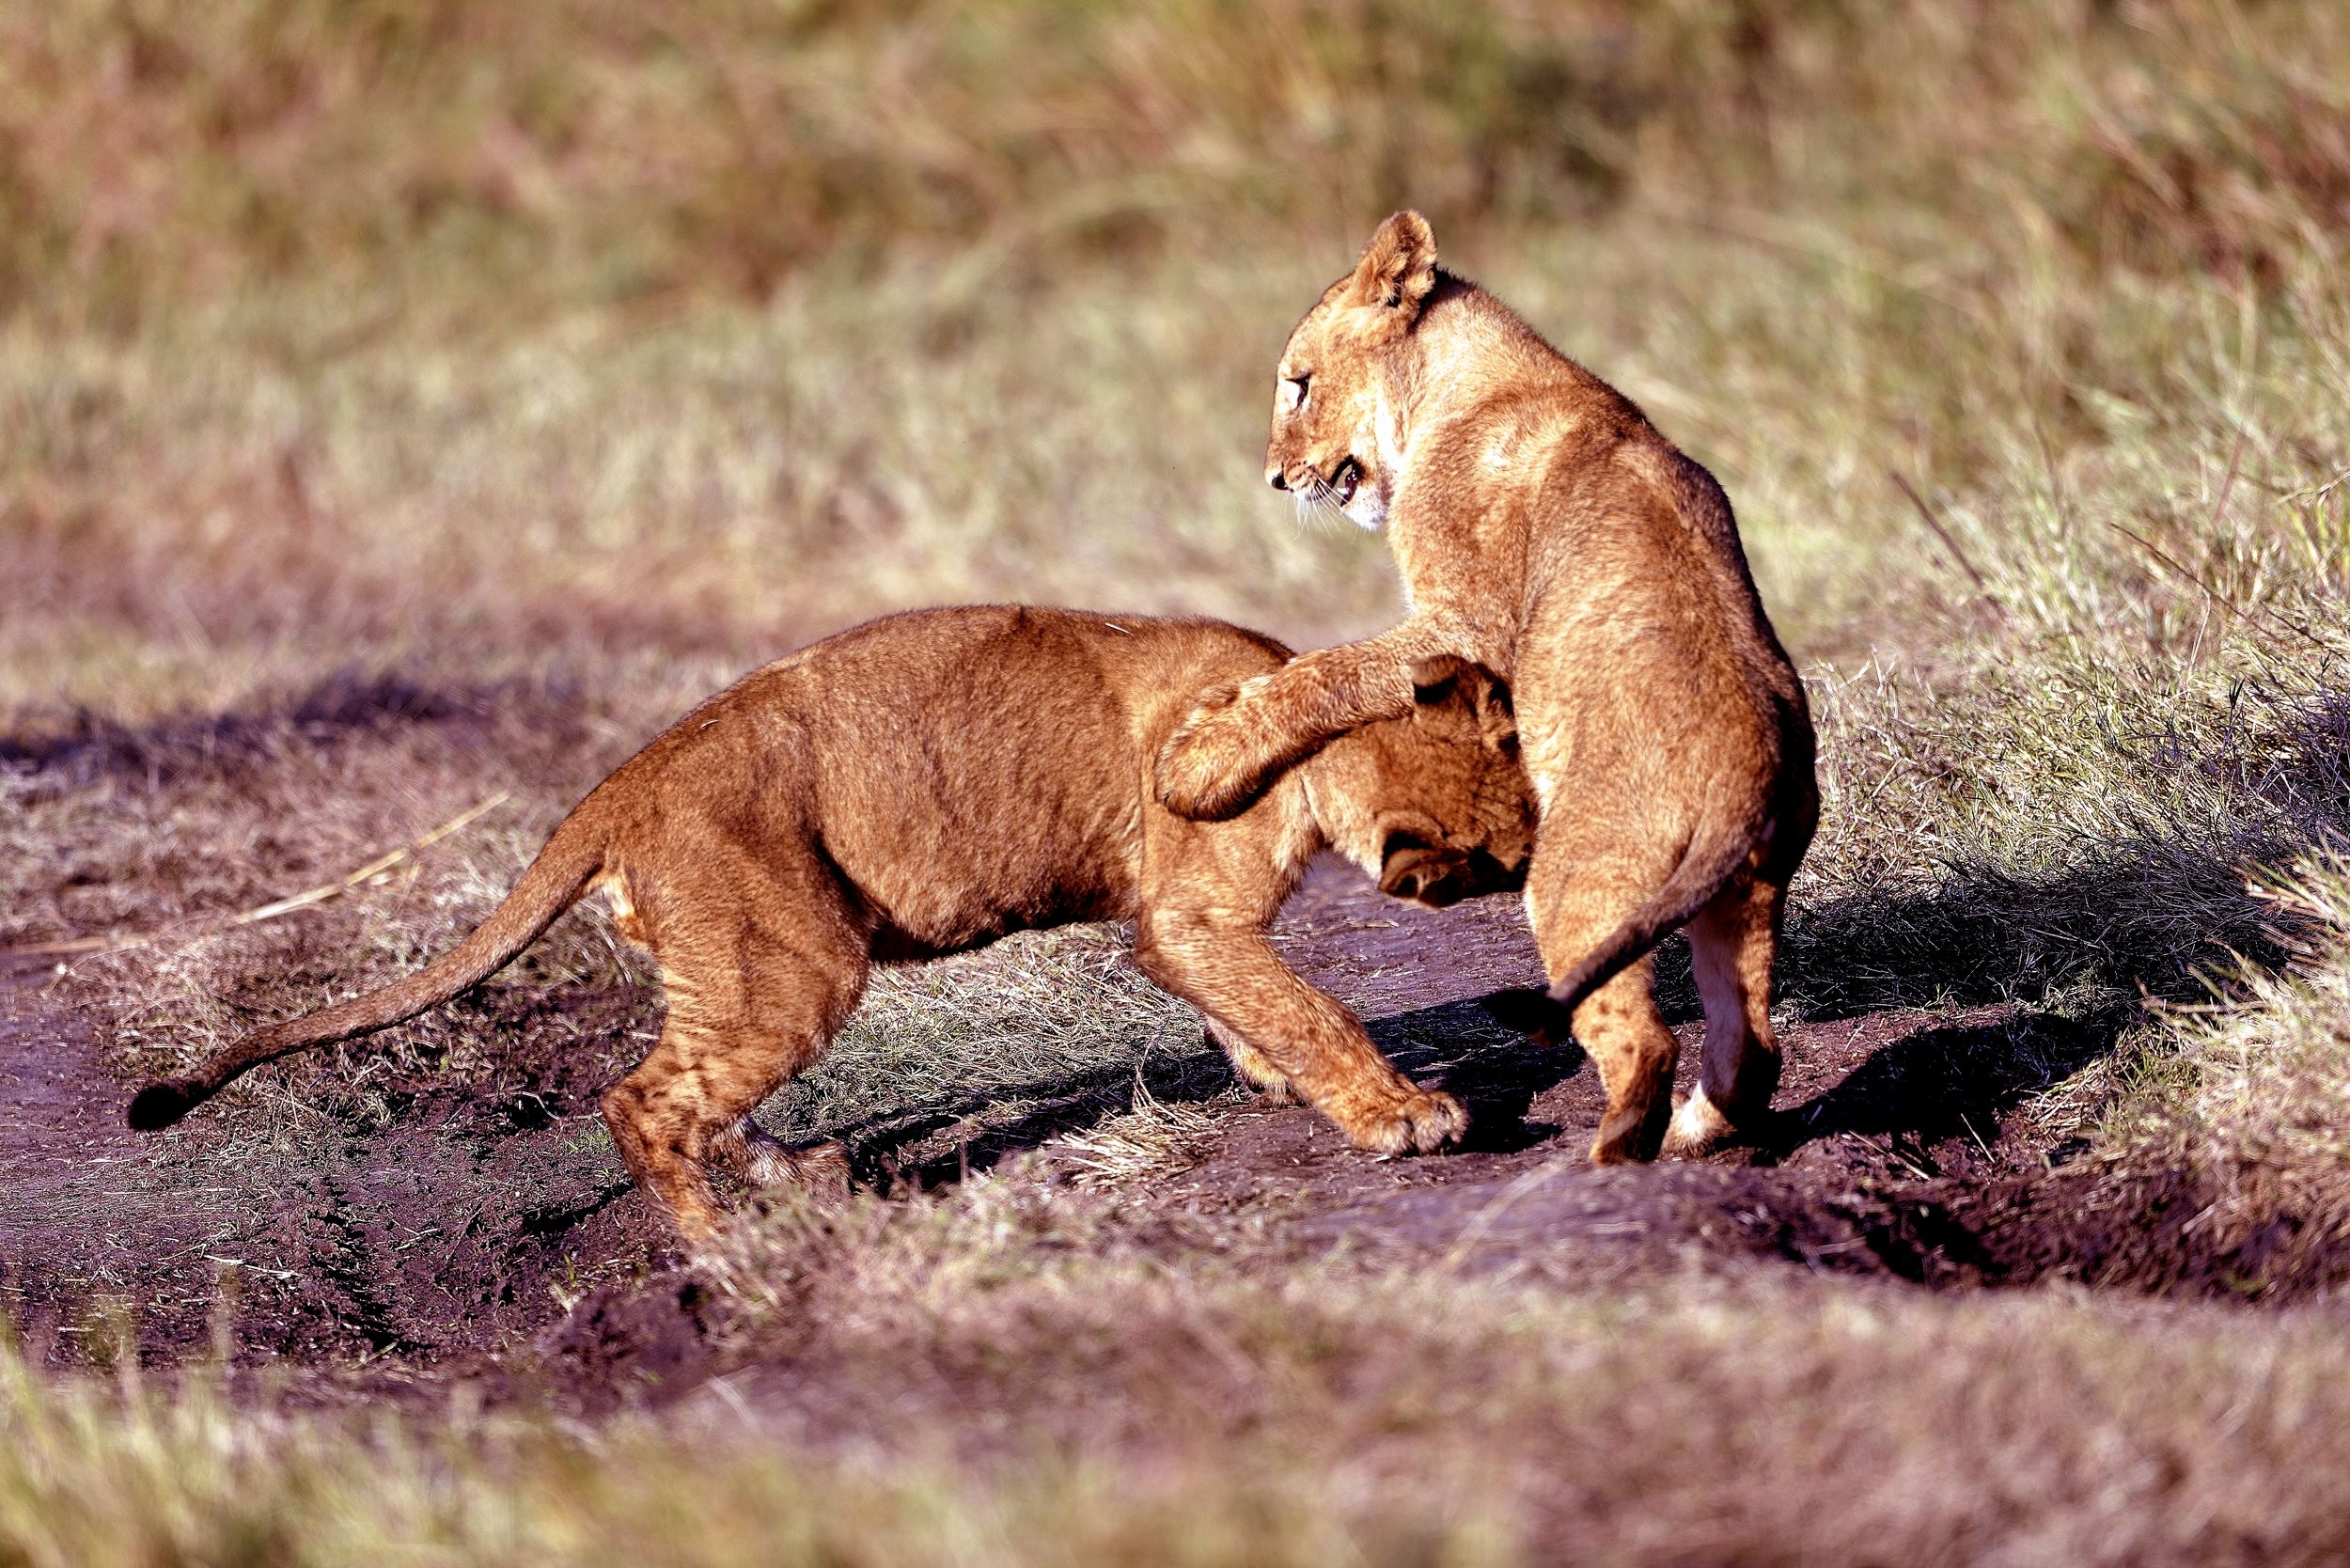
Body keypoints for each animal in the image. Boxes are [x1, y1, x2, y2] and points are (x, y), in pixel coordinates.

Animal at [128, 606, 1534, 1241]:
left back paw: (789, 1173)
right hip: (795, 959)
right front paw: (1402, 1114)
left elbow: (1262, 1007)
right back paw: (716, 1244)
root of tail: (621, 784)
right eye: (1510, 831)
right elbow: (1309, 1003)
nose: (1527, 870)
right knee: (638, 1101)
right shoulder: (1191, 897)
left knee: (689, 1086)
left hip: (739, 969)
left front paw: (1273, 1077)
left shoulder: (1185, 929)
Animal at [1155, 212, 1818, 1167]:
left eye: (1299, 386)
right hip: (1748, 894)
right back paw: (1699, 1130)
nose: (1277, 479)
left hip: (1581, 881)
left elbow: (1327, 669)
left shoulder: (1466, 622)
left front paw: (1202, 757)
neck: (1473, 383)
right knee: (1754, 1042)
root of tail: (1755, 771)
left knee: (1639, 1034)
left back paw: (1616, 1150)